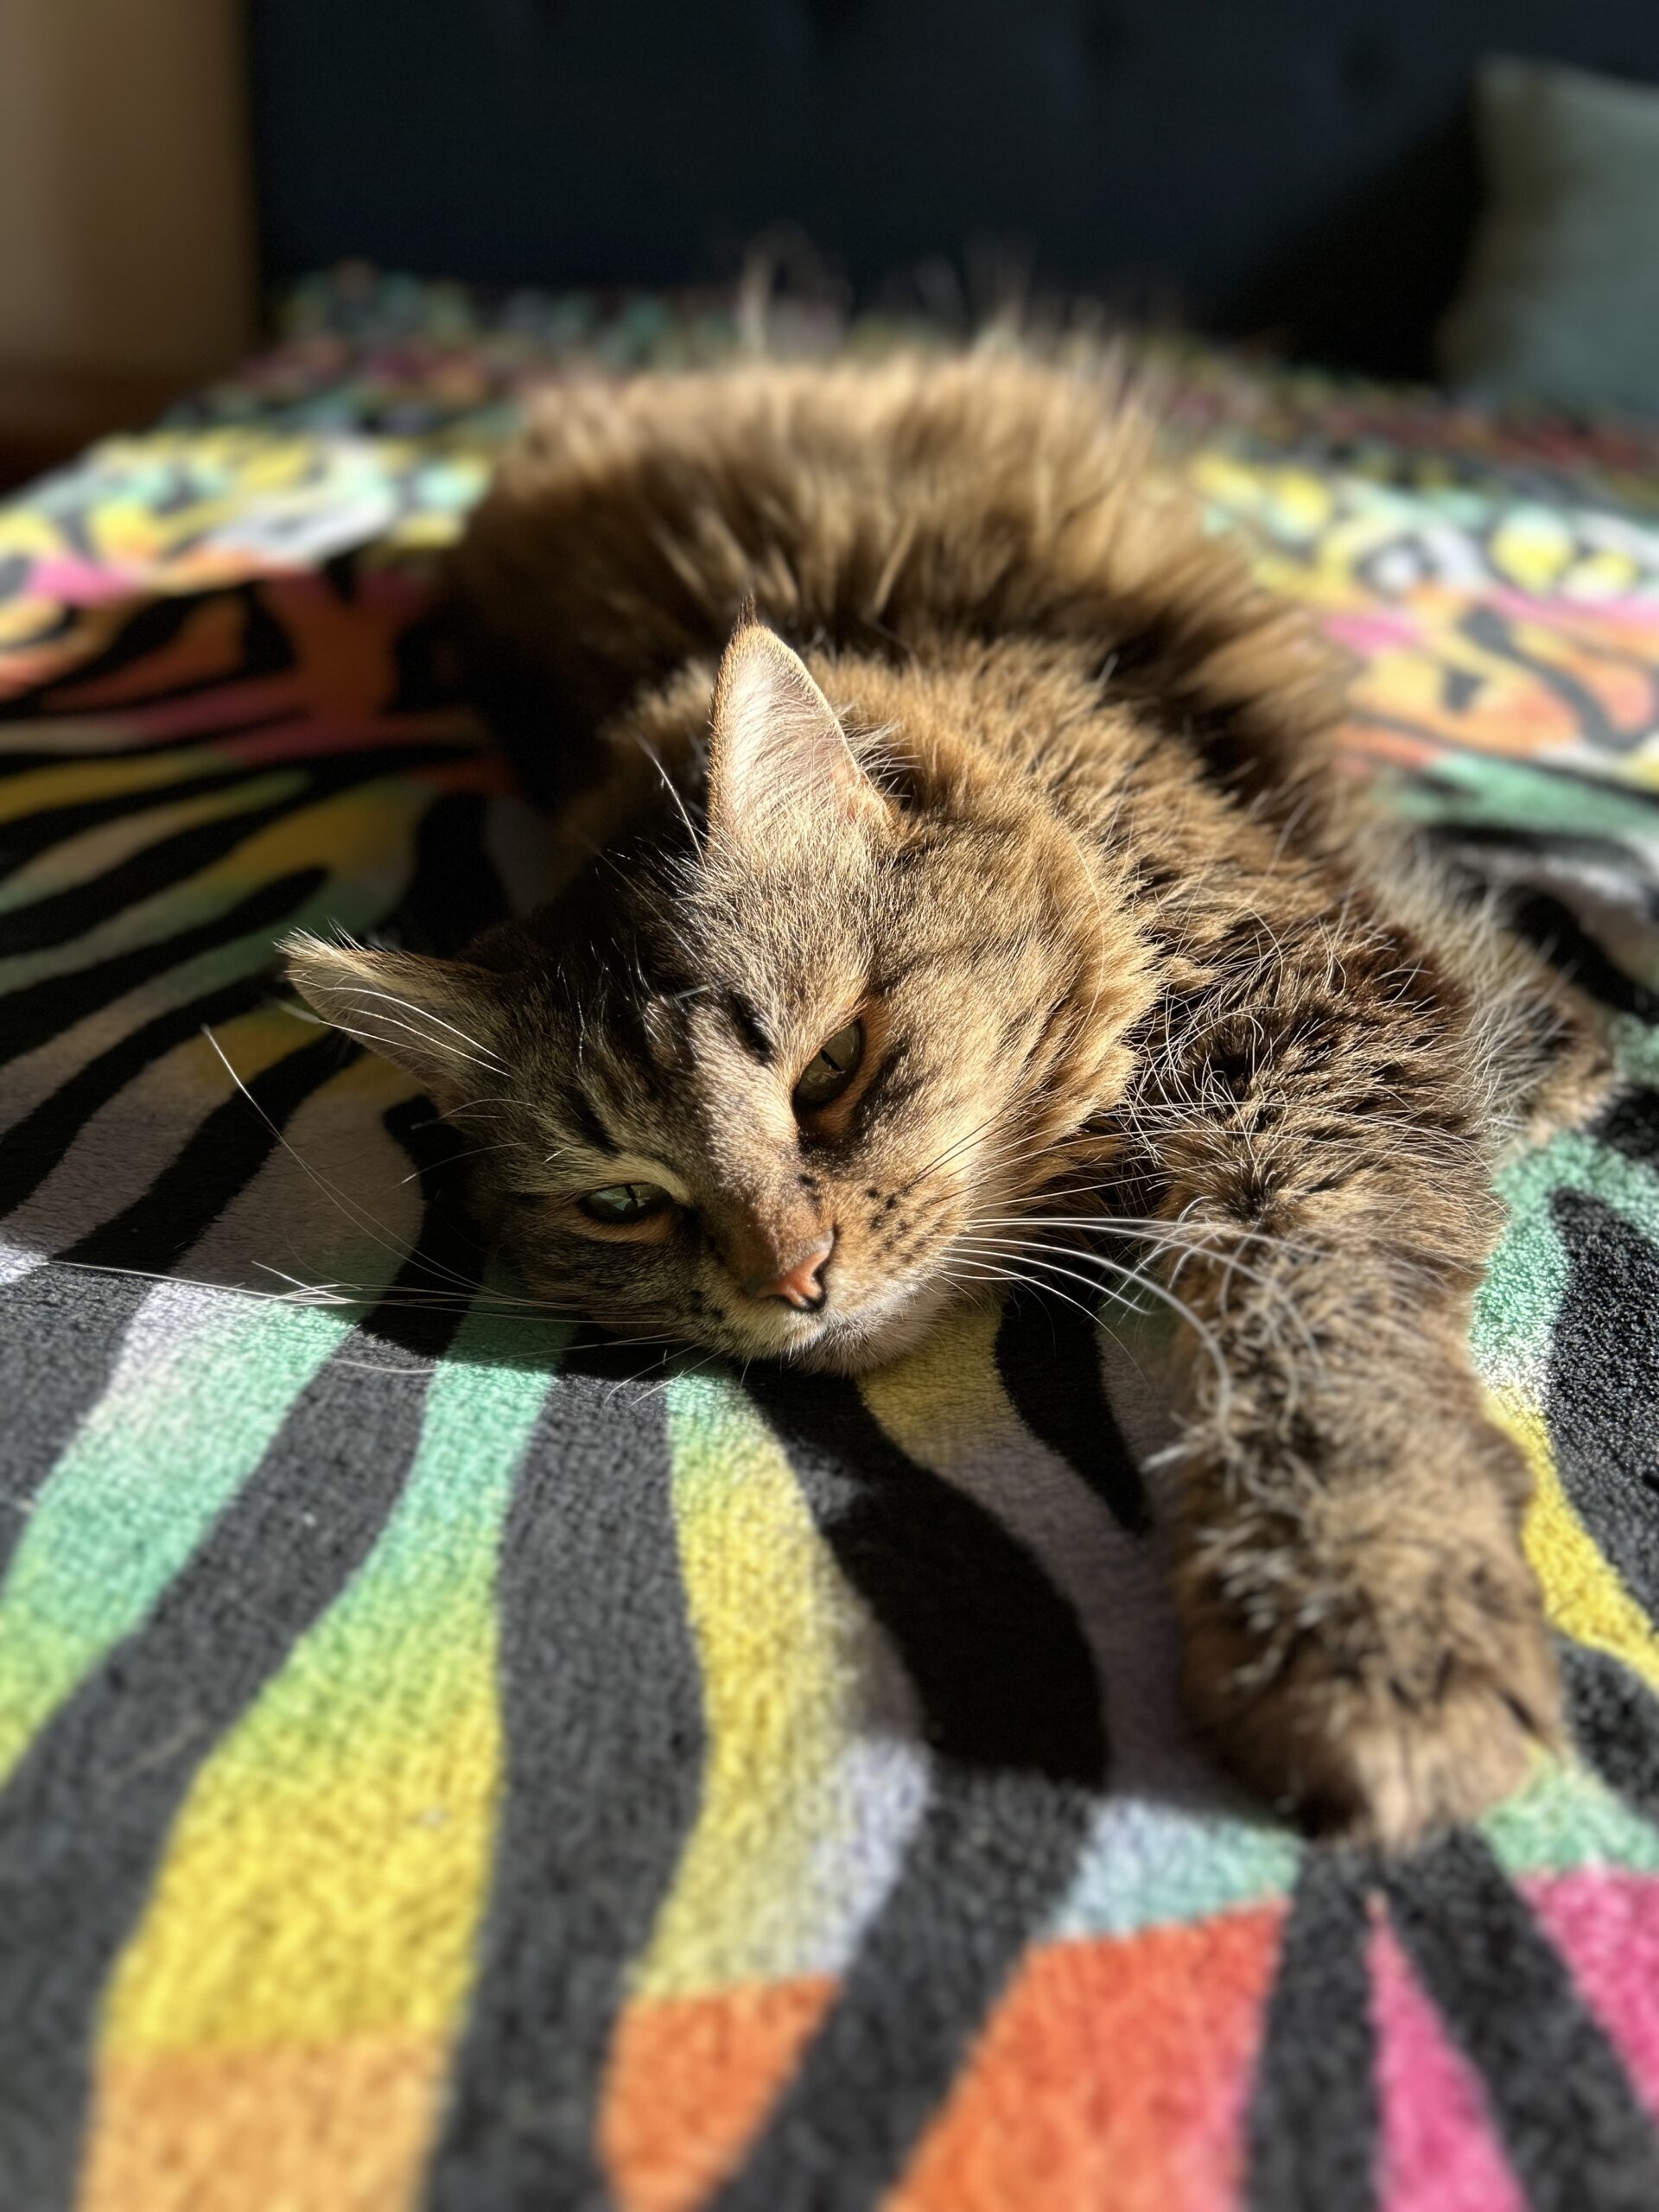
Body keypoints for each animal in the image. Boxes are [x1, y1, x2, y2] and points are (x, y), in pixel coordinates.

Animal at [289, 358, 1610, 1849]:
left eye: (830, 1070)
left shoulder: (1311, 1017)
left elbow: (1314, 1337)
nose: (794, 1278)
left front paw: (1366, 1602)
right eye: (625, 1203)